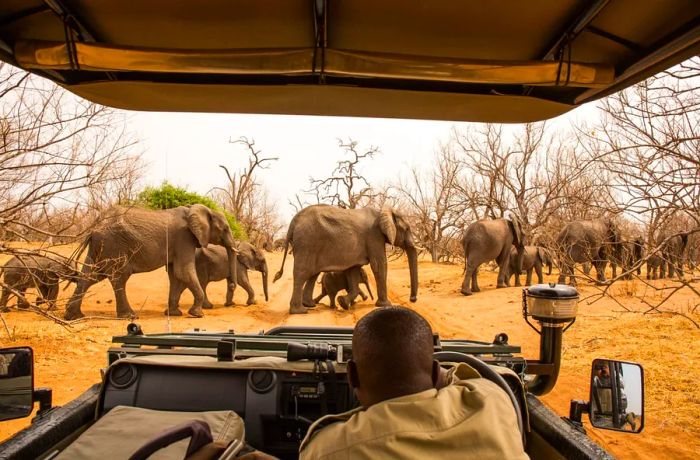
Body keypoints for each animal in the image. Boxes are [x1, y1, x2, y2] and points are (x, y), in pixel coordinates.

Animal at [64, 205, 238, 320]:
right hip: (114, 244)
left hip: (101, 247)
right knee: (119, 277)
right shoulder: (184, 238)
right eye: (225, 229)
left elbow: (175, 274)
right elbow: (183, 271)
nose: (231, 285)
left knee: (91, 276)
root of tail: (93, 229)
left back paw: (73, 316)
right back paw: (129, 316)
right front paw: (197, 314)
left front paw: (174, 314)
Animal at [272, 204, 416, 312]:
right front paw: (385, 305)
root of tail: (293, 223)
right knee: (302, 273)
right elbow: (379, 266)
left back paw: (310, 305)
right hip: (307, 242)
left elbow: (353, 271)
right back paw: (300, 311)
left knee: (312, 274)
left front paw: (343, 303)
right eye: (407, 229)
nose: (412, 299)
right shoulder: (374, 237)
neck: (382, 211)